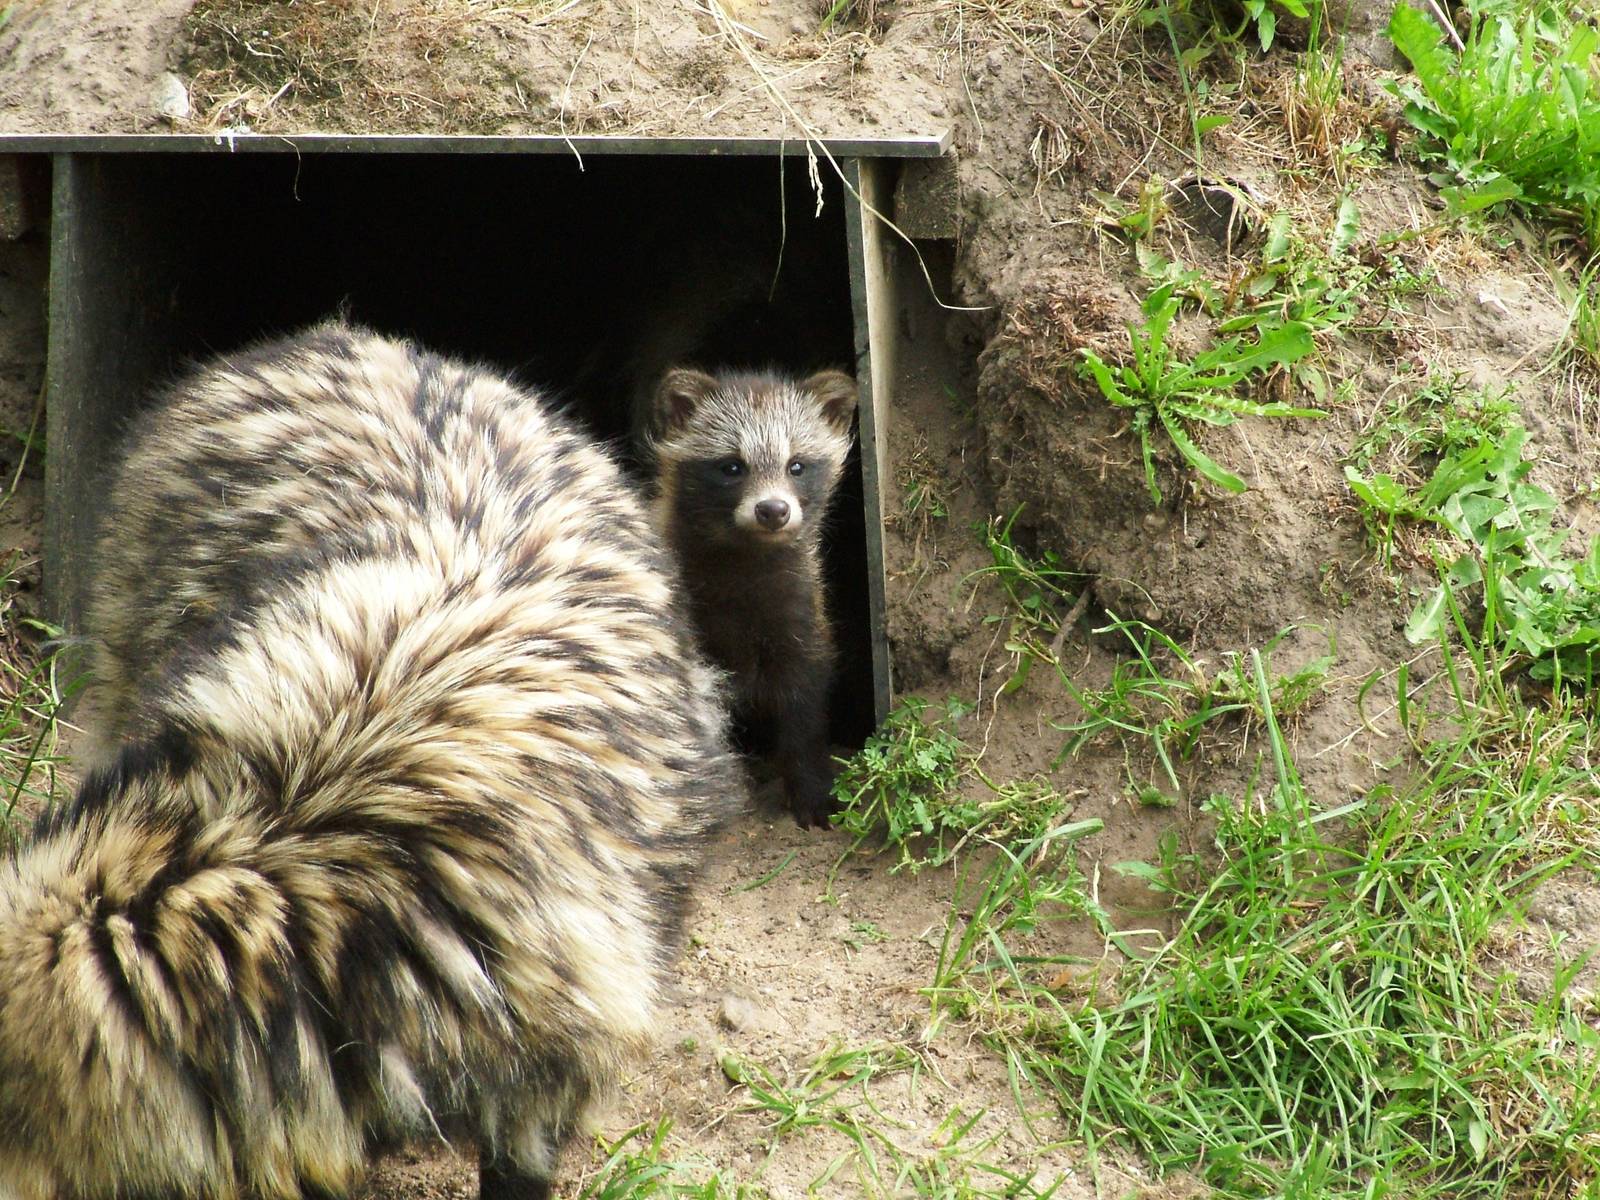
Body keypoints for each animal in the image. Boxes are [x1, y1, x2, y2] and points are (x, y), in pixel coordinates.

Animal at [645, 366, 857, 829]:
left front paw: (811, 785)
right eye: (731, 466)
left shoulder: (799, 612)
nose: (773, 510)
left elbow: (804, 702)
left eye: (797, 465)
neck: (746, 560)